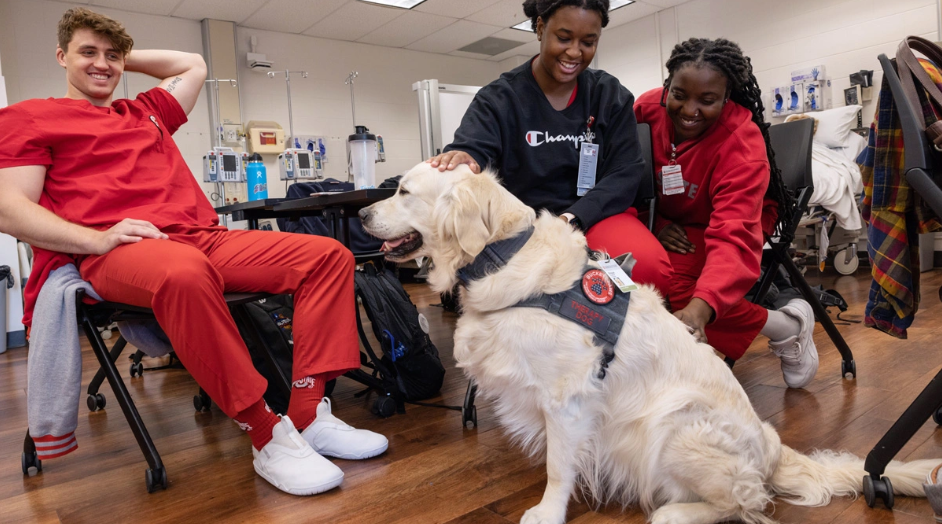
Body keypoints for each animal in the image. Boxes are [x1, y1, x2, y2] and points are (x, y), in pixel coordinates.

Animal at [360, 162, 936, 520]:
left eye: (403, 192)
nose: (362, 214)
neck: (502, 253)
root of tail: (770, 448)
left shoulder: (568, 397)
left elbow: (557, 466)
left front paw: (547, 511)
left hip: (675, 425)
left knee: (744, 500)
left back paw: (673, 513)